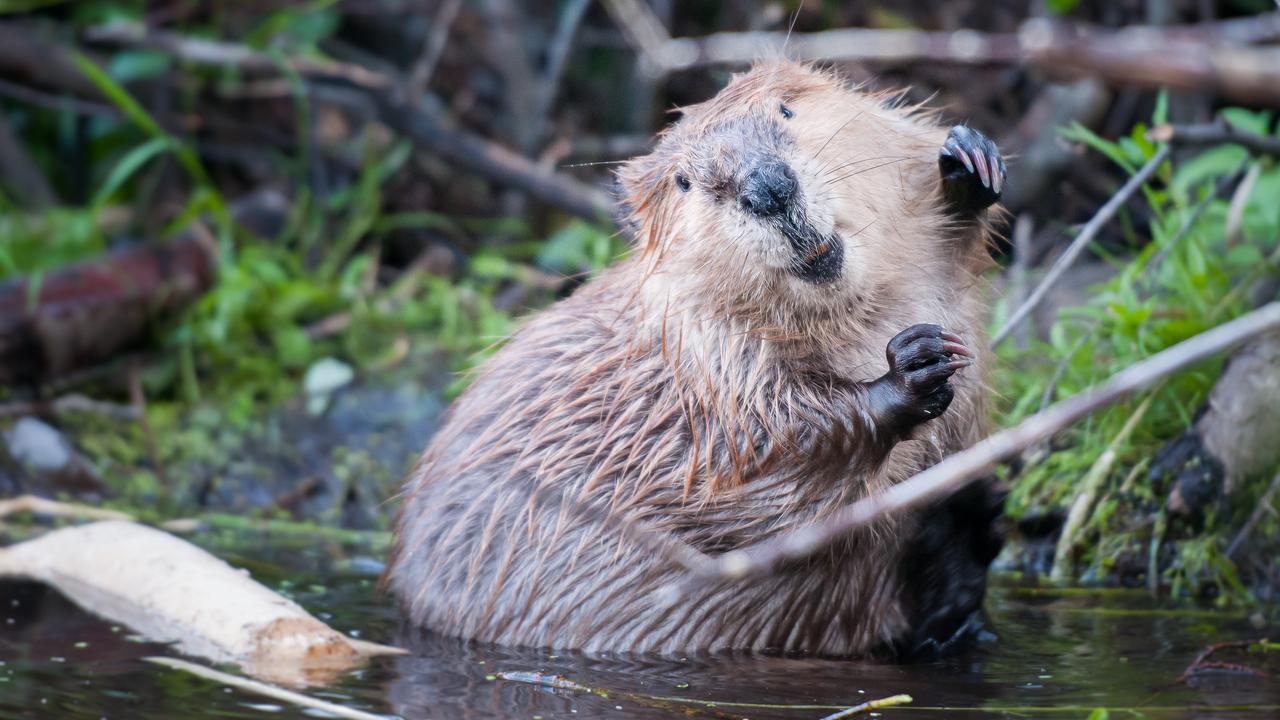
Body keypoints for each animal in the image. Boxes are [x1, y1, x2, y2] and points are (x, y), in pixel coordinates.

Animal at [384, 61, 1003, 655]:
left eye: (786, 109)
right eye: (684, 181)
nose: (767, 188)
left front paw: (968, 163)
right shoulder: (704, 367)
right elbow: (762, 479)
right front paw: (912, 367)